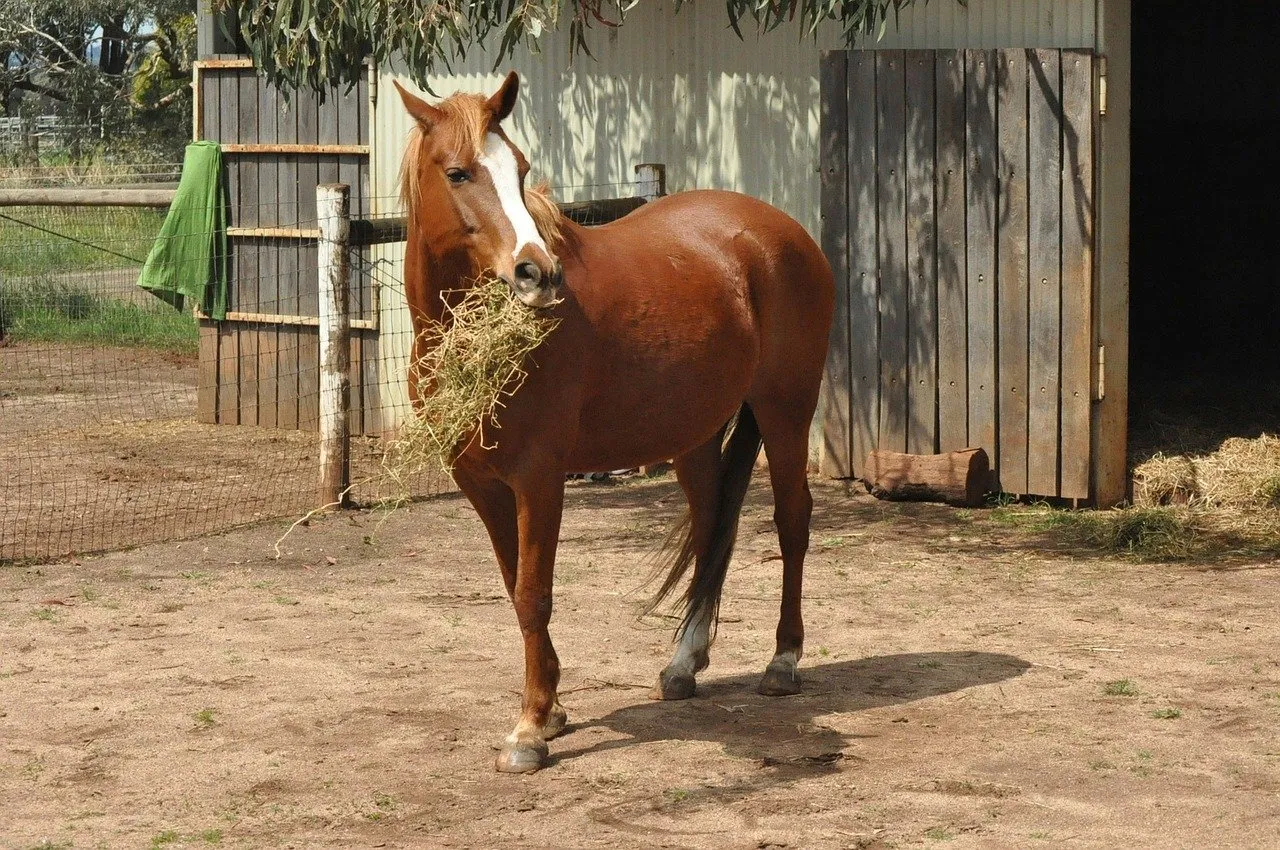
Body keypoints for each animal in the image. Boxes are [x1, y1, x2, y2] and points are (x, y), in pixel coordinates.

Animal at [394, 72, 835, 773]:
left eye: (520, 169)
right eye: (458, 172)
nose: (537, 273)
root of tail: (783, 231)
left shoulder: (539, 479)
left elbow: (533, 594)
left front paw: (529, 729)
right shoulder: (481, 484)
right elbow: (513, 585)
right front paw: (551, 709)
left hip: (786, 412)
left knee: (792, 523)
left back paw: (783, 661)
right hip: (694, 436)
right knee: (712, 528)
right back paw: (684, 664)